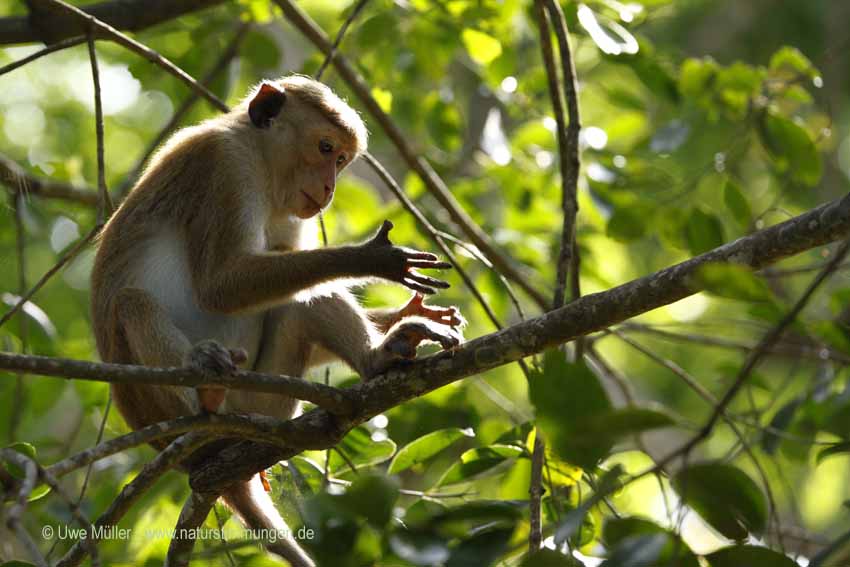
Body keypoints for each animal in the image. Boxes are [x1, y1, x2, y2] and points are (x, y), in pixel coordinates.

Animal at [91, 76, 464, 567]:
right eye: (325, 147)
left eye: (341, 160)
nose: (328, 187)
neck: (262, 162)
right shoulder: (226, 167)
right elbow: (221, 285)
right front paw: (370, 258)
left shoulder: (290, 211)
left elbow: (285, 275)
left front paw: (405, 313)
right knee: (132, 303)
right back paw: (206, 400)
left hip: (266, 402)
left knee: (297, 297)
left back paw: (380, 357)